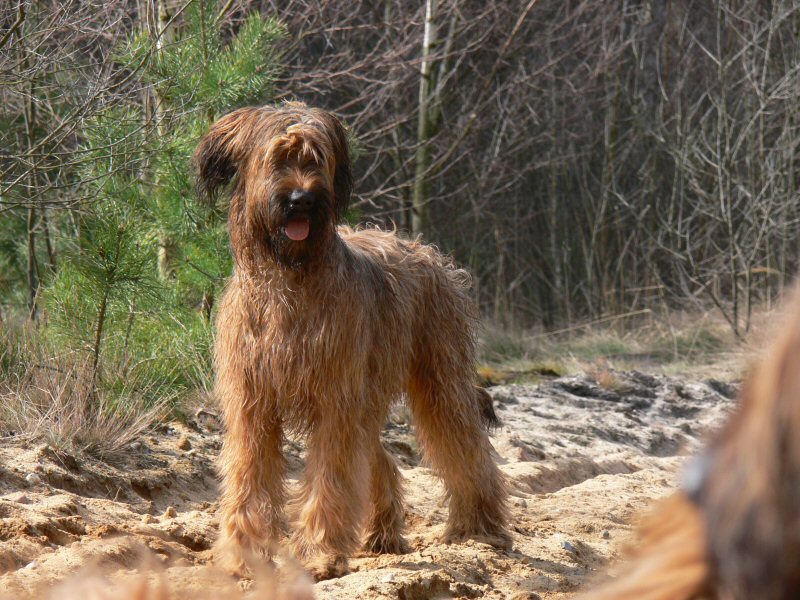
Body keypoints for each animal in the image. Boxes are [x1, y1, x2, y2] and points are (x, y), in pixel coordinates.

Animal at [192, 103, 509, 579]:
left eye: (316, 159)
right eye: (278, 158)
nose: (302, 200)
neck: (289, 278)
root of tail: (428, 252)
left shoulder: (333, 397)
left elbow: (332, 478)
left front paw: (319, 553)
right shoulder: (253, 402)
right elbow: (250, 475)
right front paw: (243, 554)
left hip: (440, 380)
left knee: (467, 450)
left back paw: (480, 528)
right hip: (371, 392)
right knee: (383, 460)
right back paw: (382, 534)